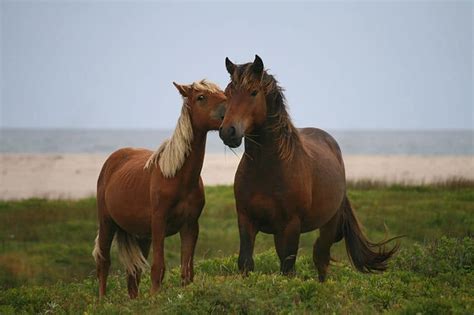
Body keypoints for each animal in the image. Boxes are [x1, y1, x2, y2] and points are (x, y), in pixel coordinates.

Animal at [93, 79, 227, 298]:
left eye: (223, 93)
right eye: (201, 97)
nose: (229, 116)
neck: (178, 177)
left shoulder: (190, 226)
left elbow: (187, 271)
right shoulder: (159, 223)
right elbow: (158, 267)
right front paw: (155, 298)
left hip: (141, 236)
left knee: (133, 275)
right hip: (107, 223)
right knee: (103, 263)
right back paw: (102, 301)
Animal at [219, 56, 400, 282]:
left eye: (253, 92)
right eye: (227, 93)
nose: (228, 132)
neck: (267, 169)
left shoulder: (291, 226)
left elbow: (288, 268)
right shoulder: (246, 220)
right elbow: (245, 262)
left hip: (328, 225)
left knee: (321, 259)